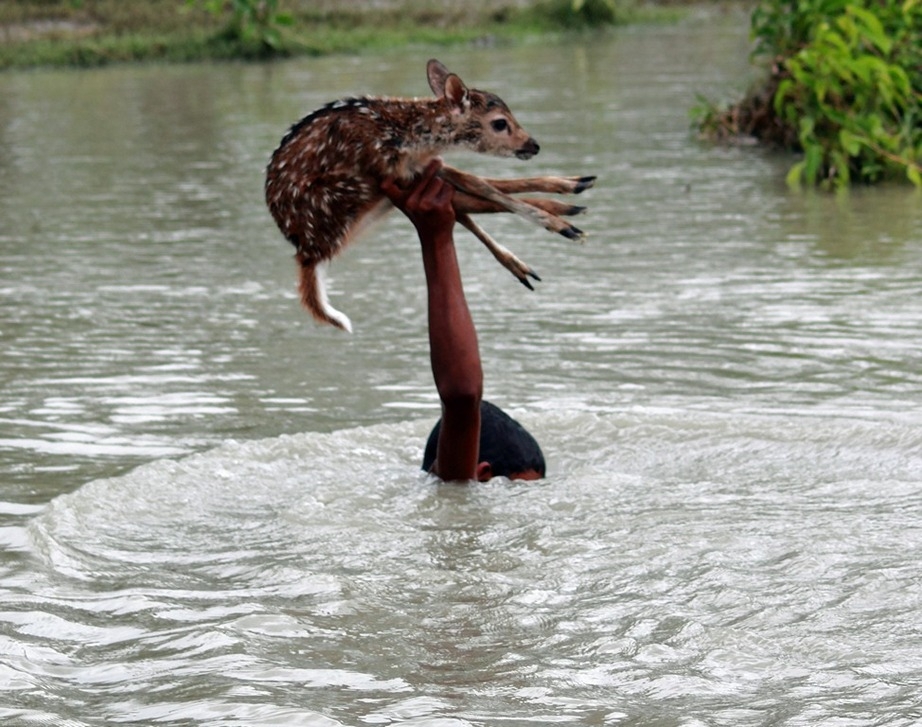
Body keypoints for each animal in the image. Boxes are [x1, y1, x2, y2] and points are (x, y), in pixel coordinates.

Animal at [264, 58, 596, 332]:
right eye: (500, 122)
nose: (533, 145)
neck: (411, 137)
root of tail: (306, 252)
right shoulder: (392, 170)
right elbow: (480, 186)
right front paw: (560, 221)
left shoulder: (420, 167)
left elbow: (478, 182)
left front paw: (568, 192)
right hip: (350, 194)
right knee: (465, 200)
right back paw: (562, 222)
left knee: (465, 200)